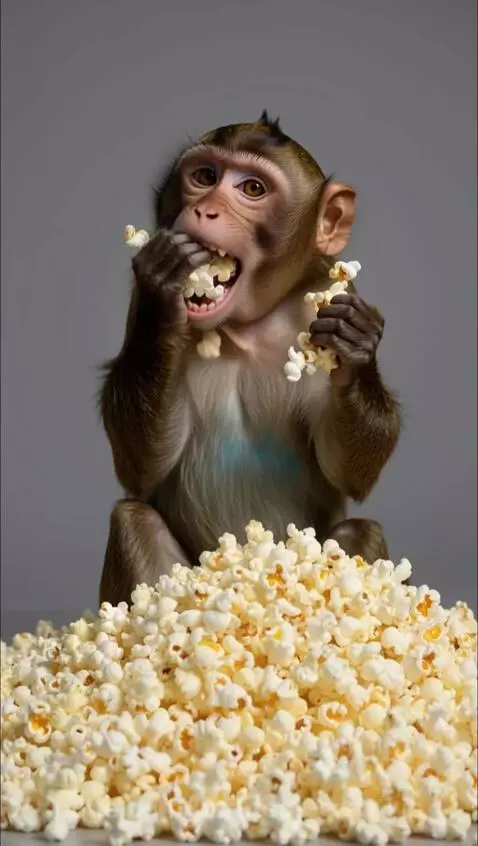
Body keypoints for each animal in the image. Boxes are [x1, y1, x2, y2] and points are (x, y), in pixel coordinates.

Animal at [99, 111, 401, 606]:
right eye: (204, 177)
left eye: (253, 189)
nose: (206, 210)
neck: (245, 328)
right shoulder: (133, 307)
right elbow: (140, 468)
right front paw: (164, 284)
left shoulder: (323, 296)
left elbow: (349, 471)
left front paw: (356, 346)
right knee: (134, 520)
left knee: (359, 532)